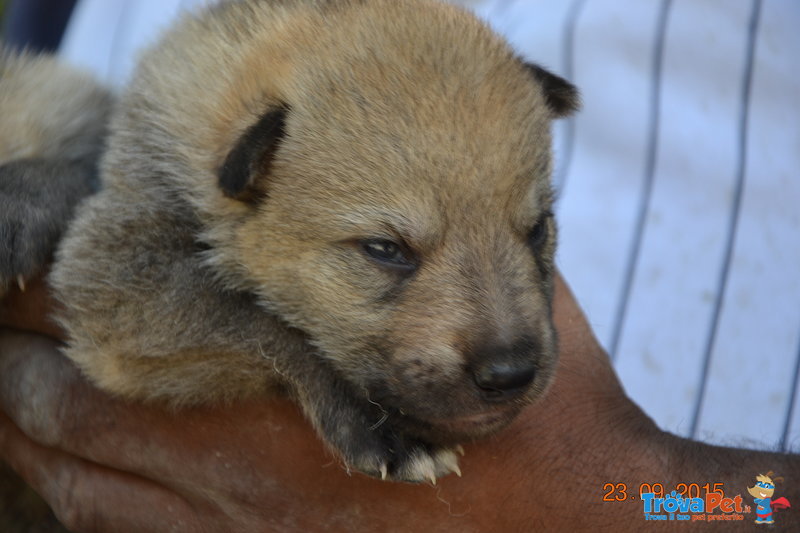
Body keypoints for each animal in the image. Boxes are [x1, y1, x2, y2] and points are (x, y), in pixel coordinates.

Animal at [48, 0, 576, 482]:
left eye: (537, 229)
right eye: (385, 249)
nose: (510, 374)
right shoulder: (112, 271)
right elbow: (260, 322)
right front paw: (381, 426)